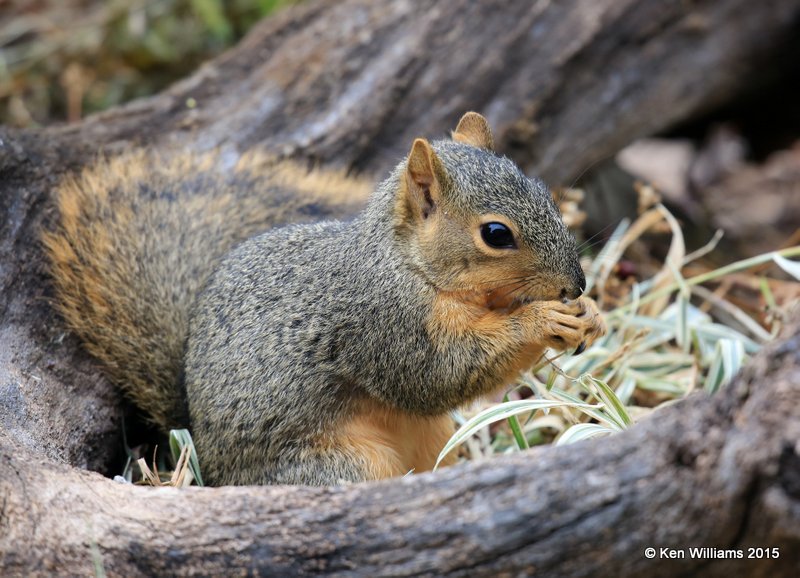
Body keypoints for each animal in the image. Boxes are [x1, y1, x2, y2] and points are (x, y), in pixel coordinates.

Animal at [43, 111, 608, 482]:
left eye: (543, 190)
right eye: (495, 234)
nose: (575, 284)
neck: (408, 265)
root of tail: (212, 465)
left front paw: (591, 315)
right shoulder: (383, 322)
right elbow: (439, 374)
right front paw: (542, 321)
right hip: (340, 465)